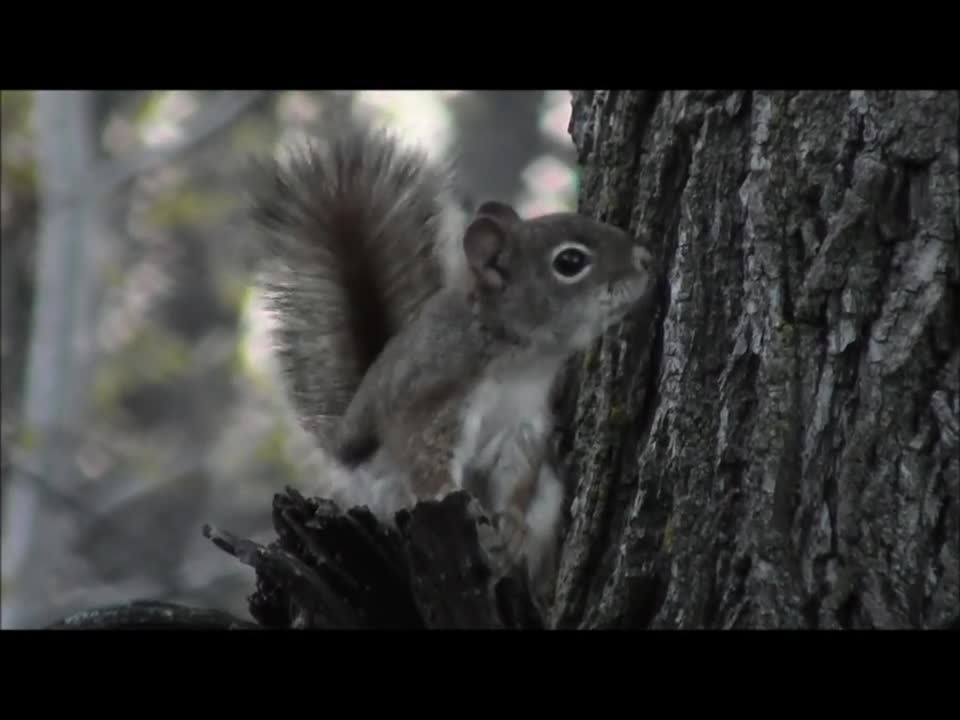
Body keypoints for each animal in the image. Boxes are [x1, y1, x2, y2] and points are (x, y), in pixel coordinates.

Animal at [246, 124, 660, 612]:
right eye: (570, 262)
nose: (646, 261)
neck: (518, 359)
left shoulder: (522, 425)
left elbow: (518, 475)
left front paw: (511, 525)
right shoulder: (436, 399)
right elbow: (429, 462)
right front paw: (453, 497)